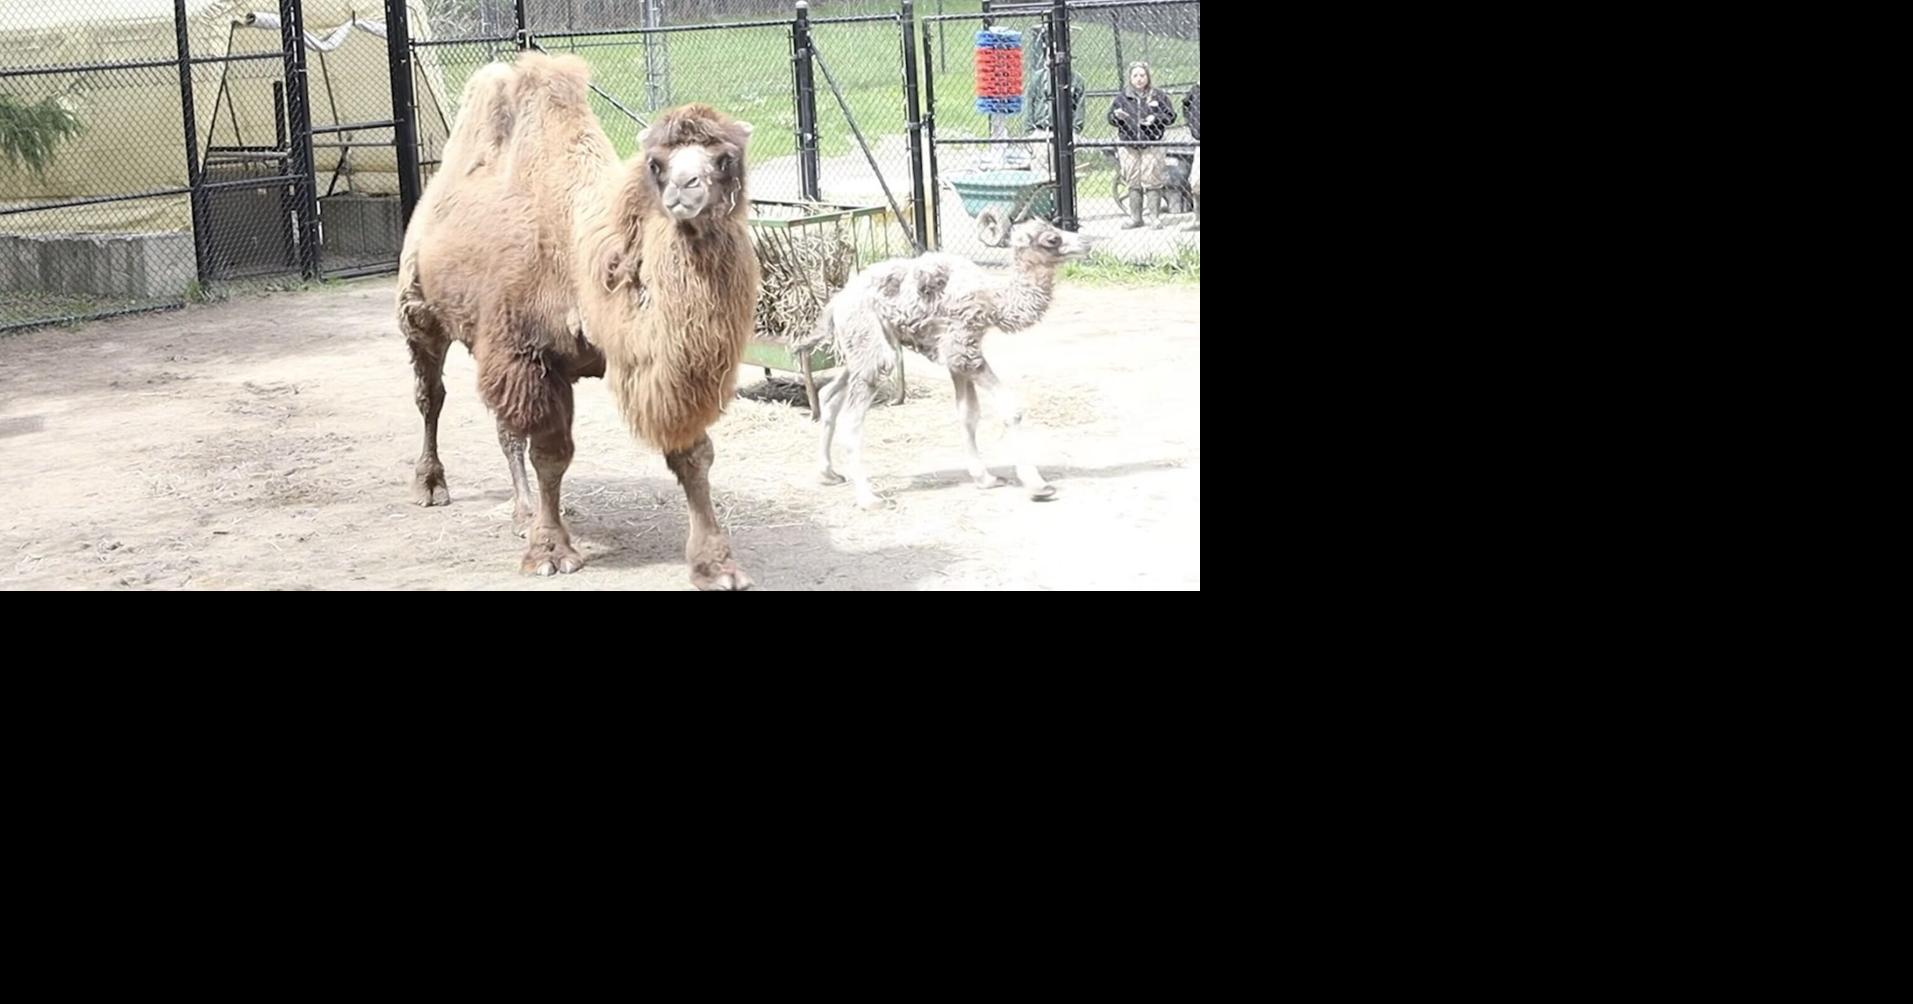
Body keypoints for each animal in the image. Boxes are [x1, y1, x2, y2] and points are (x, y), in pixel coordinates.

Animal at [396, 53, 759, 589]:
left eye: (725, 158)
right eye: (656, 164)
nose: (683, 189)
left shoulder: (662, 369)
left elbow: (691, 453)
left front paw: (716, 566)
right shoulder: (530, 354)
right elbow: (551, 455)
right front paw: (549, 552)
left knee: (504, 428)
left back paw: (522, 512)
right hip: (419, 312)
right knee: (431, 396)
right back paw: (431, 484)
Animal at [802, 218, 1087, 510]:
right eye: (1052, 239)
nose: (1085, 242)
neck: (994, 300)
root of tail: (836, 303)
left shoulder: (956, 356)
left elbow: (968, 413)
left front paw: (985, 478)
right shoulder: (963, 350)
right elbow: (1009, 408)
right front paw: (1038, 485)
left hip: (864, 348)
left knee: (829, 395)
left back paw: (828, 474)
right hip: (871, 344)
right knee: (852, 419)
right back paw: (869, 499)